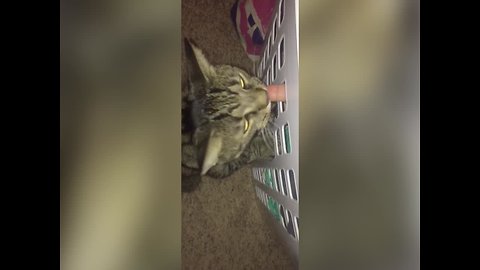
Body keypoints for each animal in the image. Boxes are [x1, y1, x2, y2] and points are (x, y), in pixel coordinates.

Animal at [182, 39, 276, 193]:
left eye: (242, 82)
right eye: (246, 125)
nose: (267, 97)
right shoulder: (222, 168)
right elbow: (247, 153)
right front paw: (269, 143)